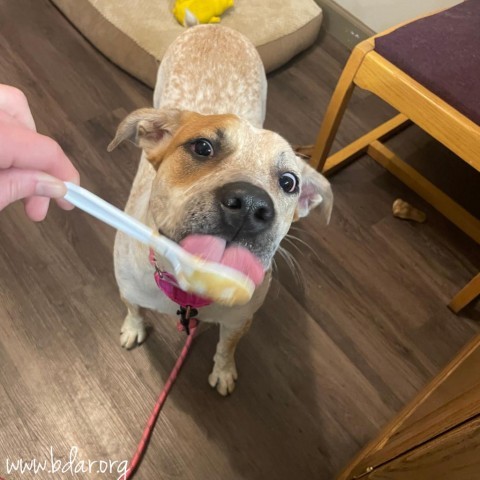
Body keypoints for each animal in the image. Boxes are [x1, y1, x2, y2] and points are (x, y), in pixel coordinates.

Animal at [107, 24, 332, 396]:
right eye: (202, 147)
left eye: (289, 182)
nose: (251, 205)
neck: (190, 290)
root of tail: (216, 27)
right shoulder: (128, 286)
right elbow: (133, 309)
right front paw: (132, 329)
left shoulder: (240, 318)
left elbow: (227, 347)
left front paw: (223, 372)